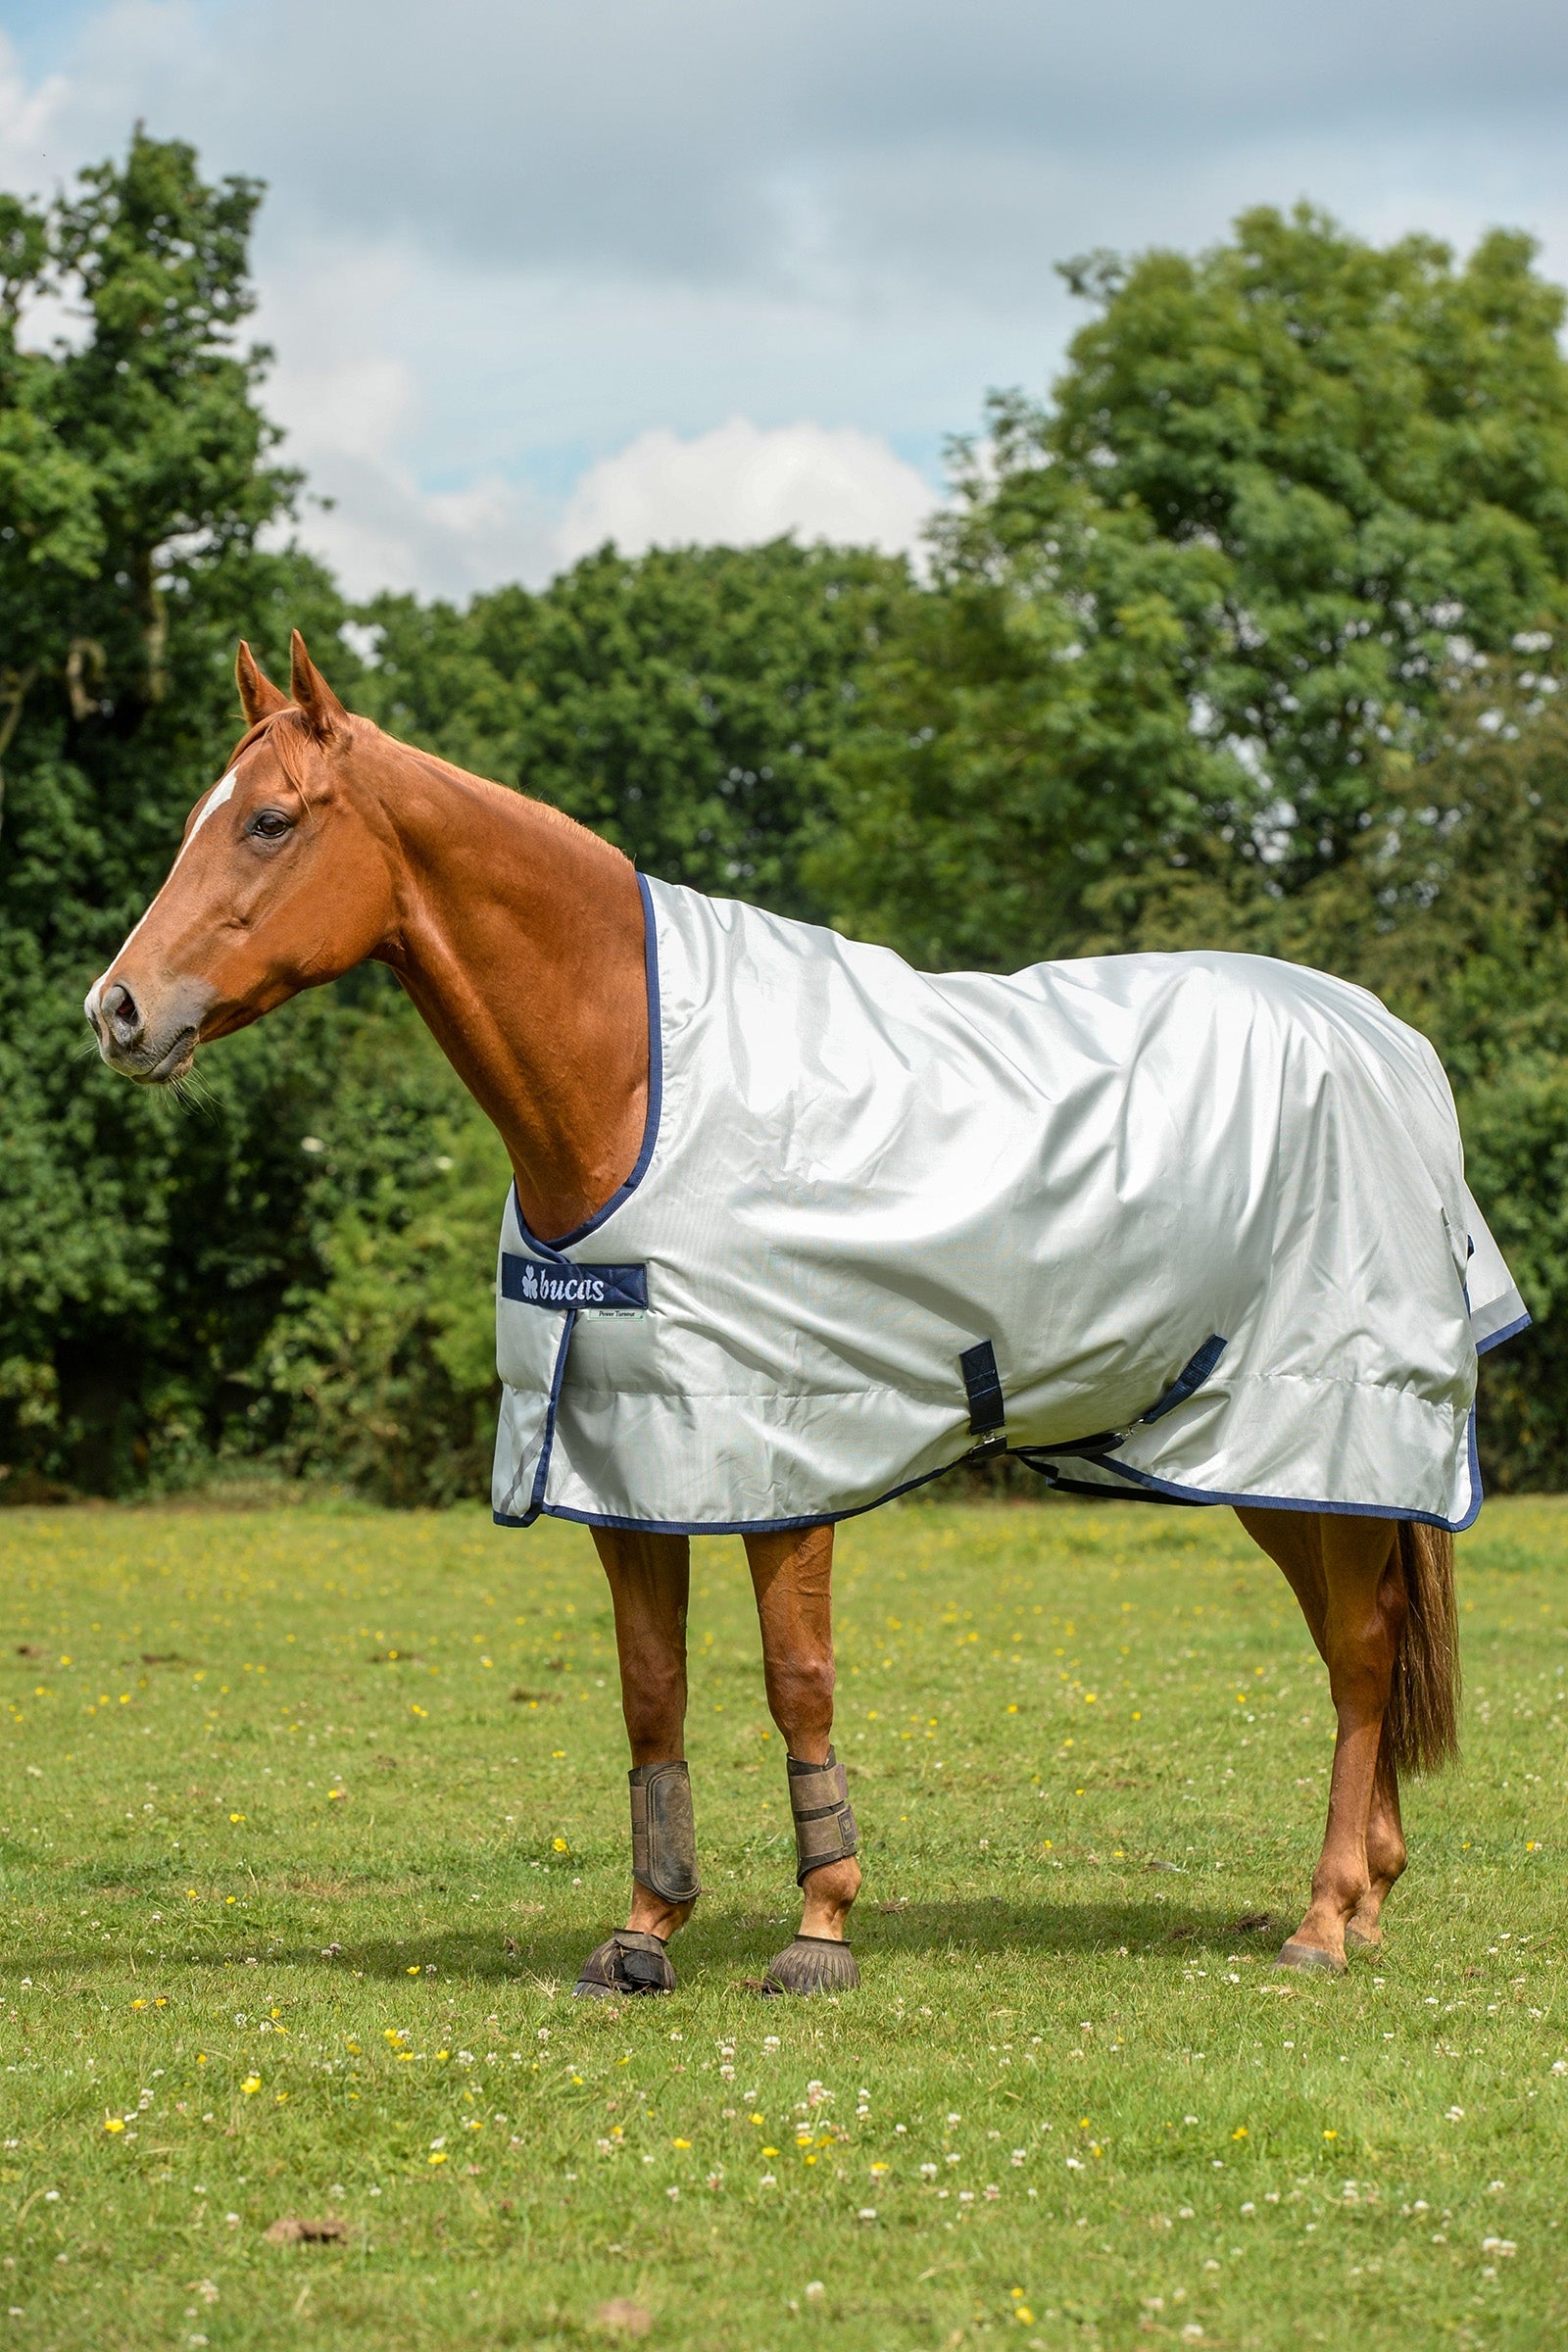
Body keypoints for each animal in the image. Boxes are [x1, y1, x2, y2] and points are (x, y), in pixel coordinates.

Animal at [85, 630, 1497, 1995]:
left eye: (270, 821)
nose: (118, 1009)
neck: (634, 1083)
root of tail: (1385, 1039)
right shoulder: (628, 1463)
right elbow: (651, 1691)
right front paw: (647, 1929)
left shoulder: (788, 1455)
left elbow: (795, 1681)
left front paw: (822, 1926)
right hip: (1267, 1458)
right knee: (1349, 1646)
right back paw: (1368, 1897)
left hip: (1324, 1426)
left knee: (1360, 1651)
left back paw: (1323, 1922)